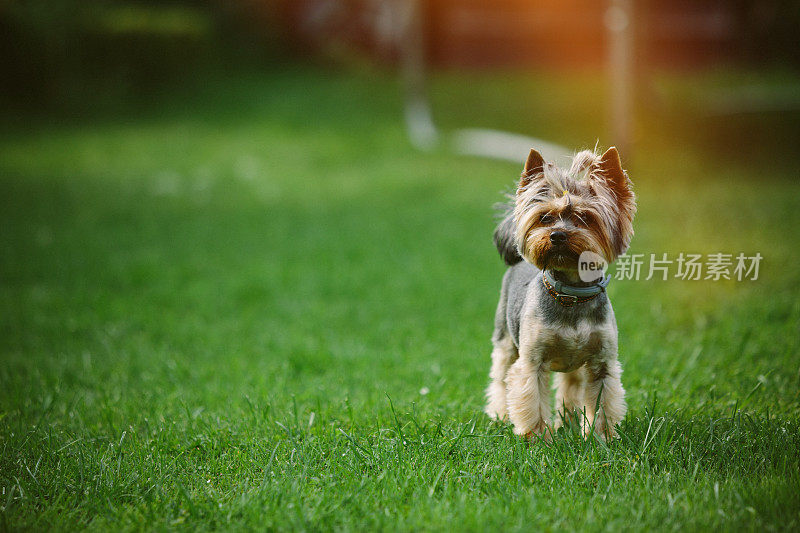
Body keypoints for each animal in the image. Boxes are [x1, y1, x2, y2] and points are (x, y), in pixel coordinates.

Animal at [482, 147, 636, 440]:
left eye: (585, 218)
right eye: (545, 217)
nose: (556, 235)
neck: (572, 295)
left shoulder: (602, 362)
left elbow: (602, 403)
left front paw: (600, 439)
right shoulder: (533, 361)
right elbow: (531, 400)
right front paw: (538, 439)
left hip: (573, 363)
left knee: (570, 384)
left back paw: (568, 422)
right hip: (505, 338)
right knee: (501, 378)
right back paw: (500, 416)